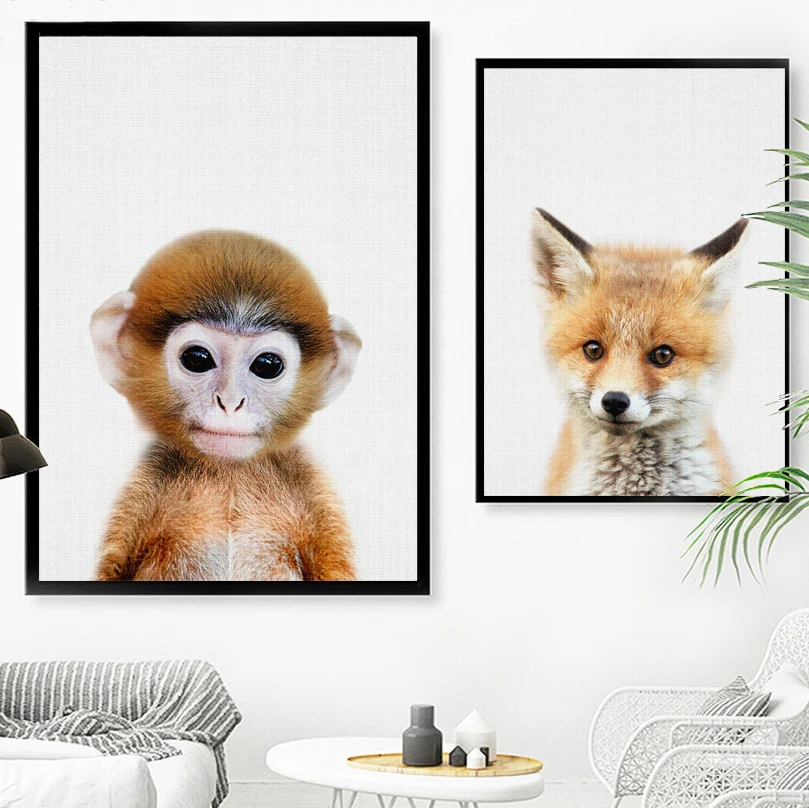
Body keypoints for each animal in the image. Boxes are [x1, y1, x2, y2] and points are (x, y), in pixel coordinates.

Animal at [89, 231, 361, 581]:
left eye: (267, 365)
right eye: (197, 359)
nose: (230, 403)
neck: (229, 474)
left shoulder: (312, 487)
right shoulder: (143, 485)